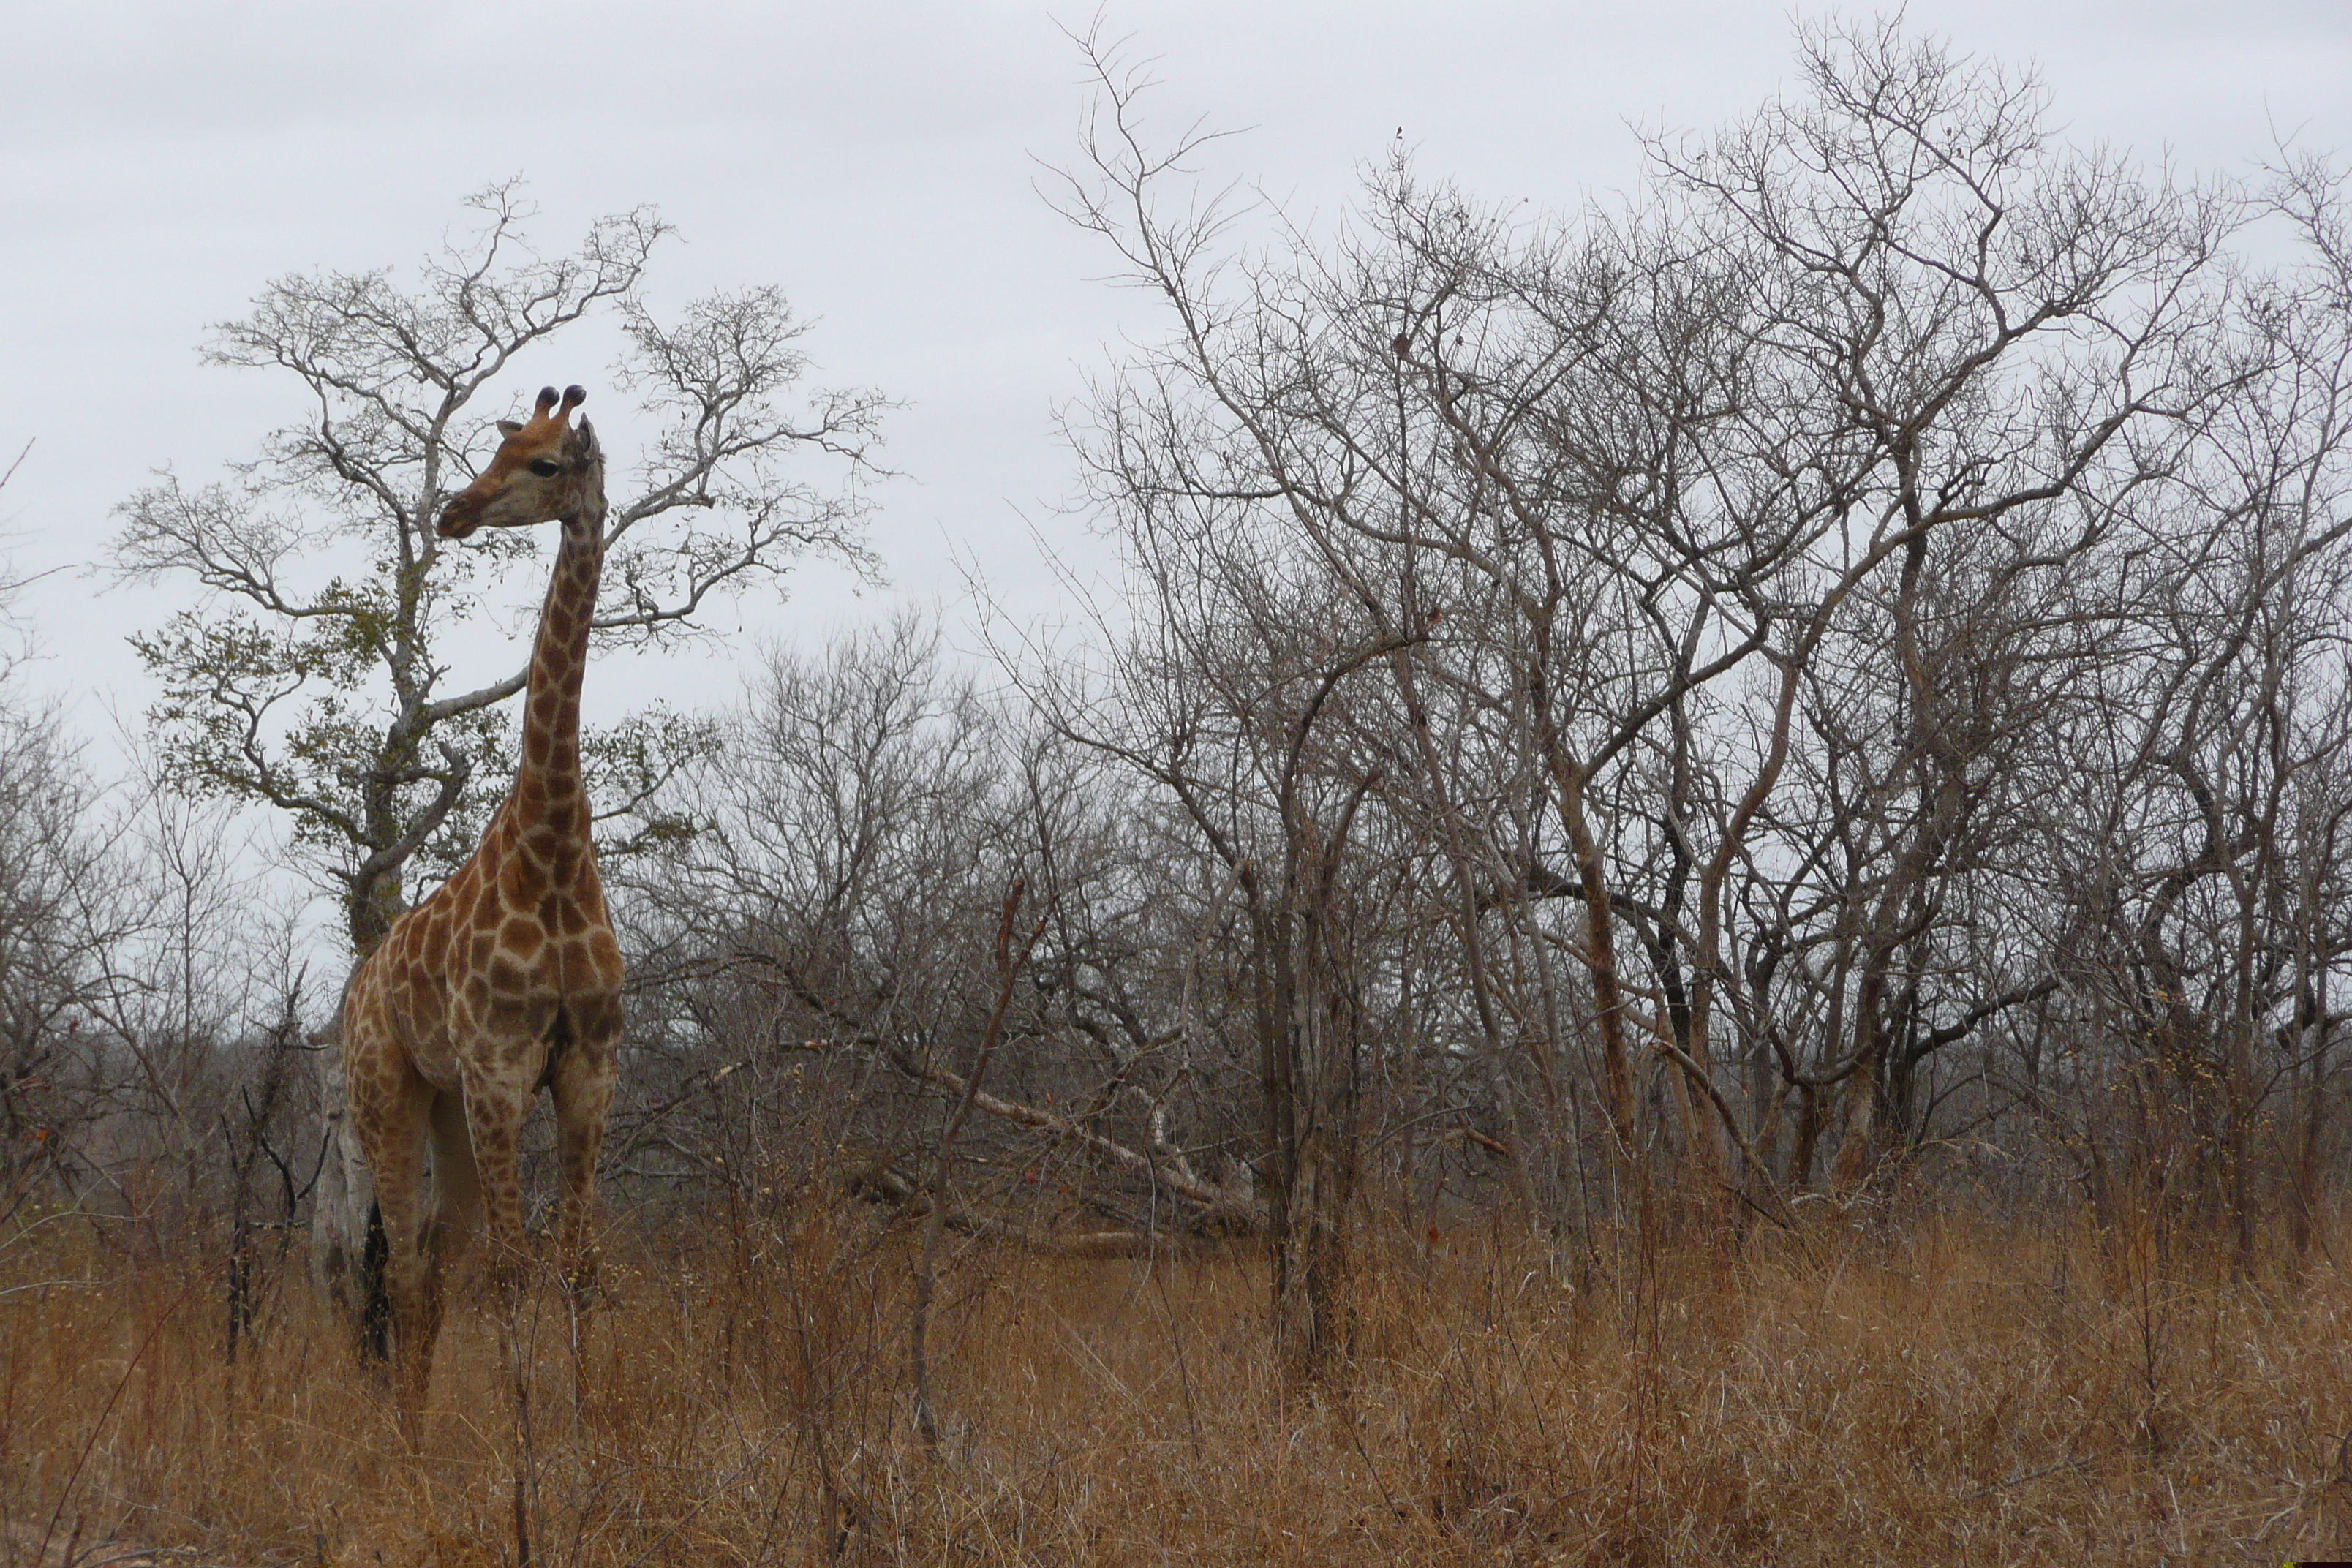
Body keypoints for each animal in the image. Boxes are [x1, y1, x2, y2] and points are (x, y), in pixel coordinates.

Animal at [341, 382, 621, 1420]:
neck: (554, 846)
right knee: (401, 1272)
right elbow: (510, 1271)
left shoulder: (587, 1064)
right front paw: (525, 1443)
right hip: (385, 1096)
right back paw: (402, 1447)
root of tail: (357, 987)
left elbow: (576, 1265)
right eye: (497, 449)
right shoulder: (501, 1065)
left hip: (448, 1110)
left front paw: (590, 1434)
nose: (453, 512)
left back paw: (417, 1433)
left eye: (544, 463)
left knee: (431, 1266)